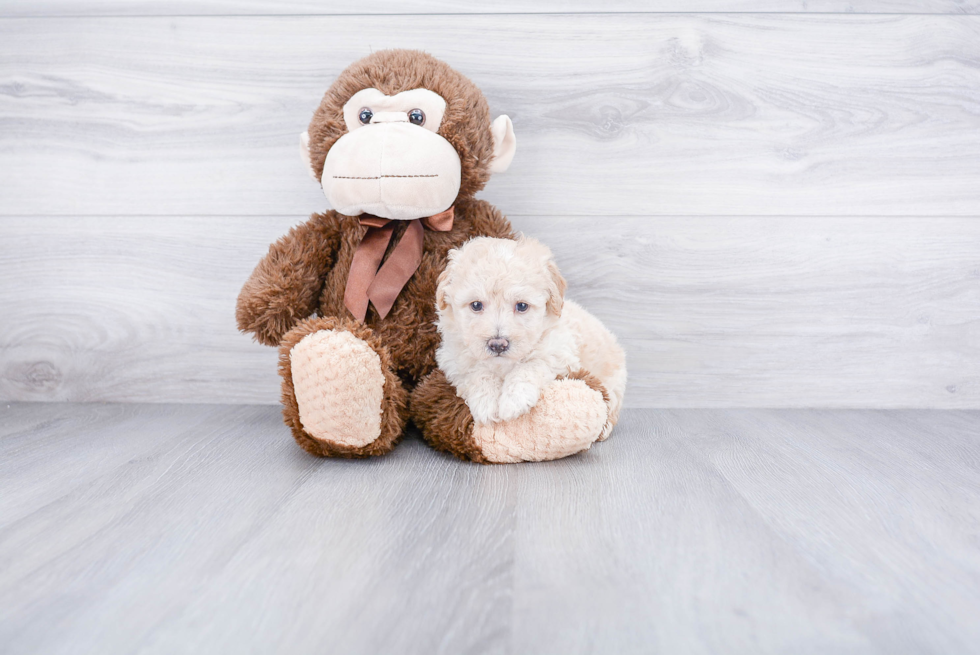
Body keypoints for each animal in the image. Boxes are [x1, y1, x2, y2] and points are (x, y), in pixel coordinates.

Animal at [436, 236, 628, 436]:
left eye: (522, 306)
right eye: (476, 305)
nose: (498, 345)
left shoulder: (559, 352)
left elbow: (531, 366)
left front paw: (514, 400)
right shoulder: (454, 360)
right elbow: (477, 373)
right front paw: (486, 402)